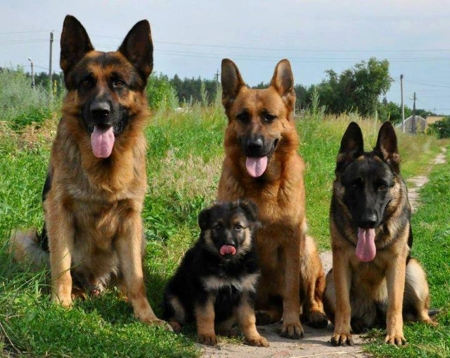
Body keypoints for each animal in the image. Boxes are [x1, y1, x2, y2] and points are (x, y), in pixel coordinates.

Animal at [11, 16, 169, 330]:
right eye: (86, 82)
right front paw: (61, 306)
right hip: (23, 240)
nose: (100, 112)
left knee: (125, 279)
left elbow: (137, 279)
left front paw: (147, 316)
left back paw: (120, 296)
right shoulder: (58, 212)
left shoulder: (131, 219)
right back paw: (78, 293)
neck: (103, 169)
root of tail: (97, 284)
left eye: (119, 83)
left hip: (140, 236)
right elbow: (61, 266)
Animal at [161, 200, 268, 346]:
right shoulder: (205, 291)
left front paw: (254, 337)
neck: (228, 264)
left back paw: (227, 331)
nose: (229, 244)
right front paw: (207, 335)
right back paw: (174, 325)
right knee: (174, 315)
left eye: (238, 227)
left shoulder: (246, 292)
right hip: (173, 298)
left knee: (222, 325)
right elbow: (207, 315)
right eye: (218, 227)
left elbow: (249, 318)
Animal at [218, 58, 326, 338]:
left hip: (307, 251)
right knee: (269, 305)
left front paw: (292, 323)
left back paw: (313, 314)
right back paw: (265, 313)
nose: (254, 146)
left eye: (269, 117)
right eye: (242, 117)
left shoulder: (291, 241)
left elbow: (291, 291)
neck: (262, 186)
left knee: (311, 297)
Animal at [324, 121, 436, 346]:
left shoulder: (397, 262)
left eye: (383, 186)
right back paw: (355, 324)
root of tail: (373, 316)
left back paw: (429, 323)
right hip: (329, 280)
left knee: (420, 312)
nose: (369, 221)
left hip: (414, 271)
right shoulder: (341, 262)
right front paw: (342, 332)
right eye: (355, 185)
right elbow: (343, 304)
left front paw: (395, 335)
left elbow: (395, 304)